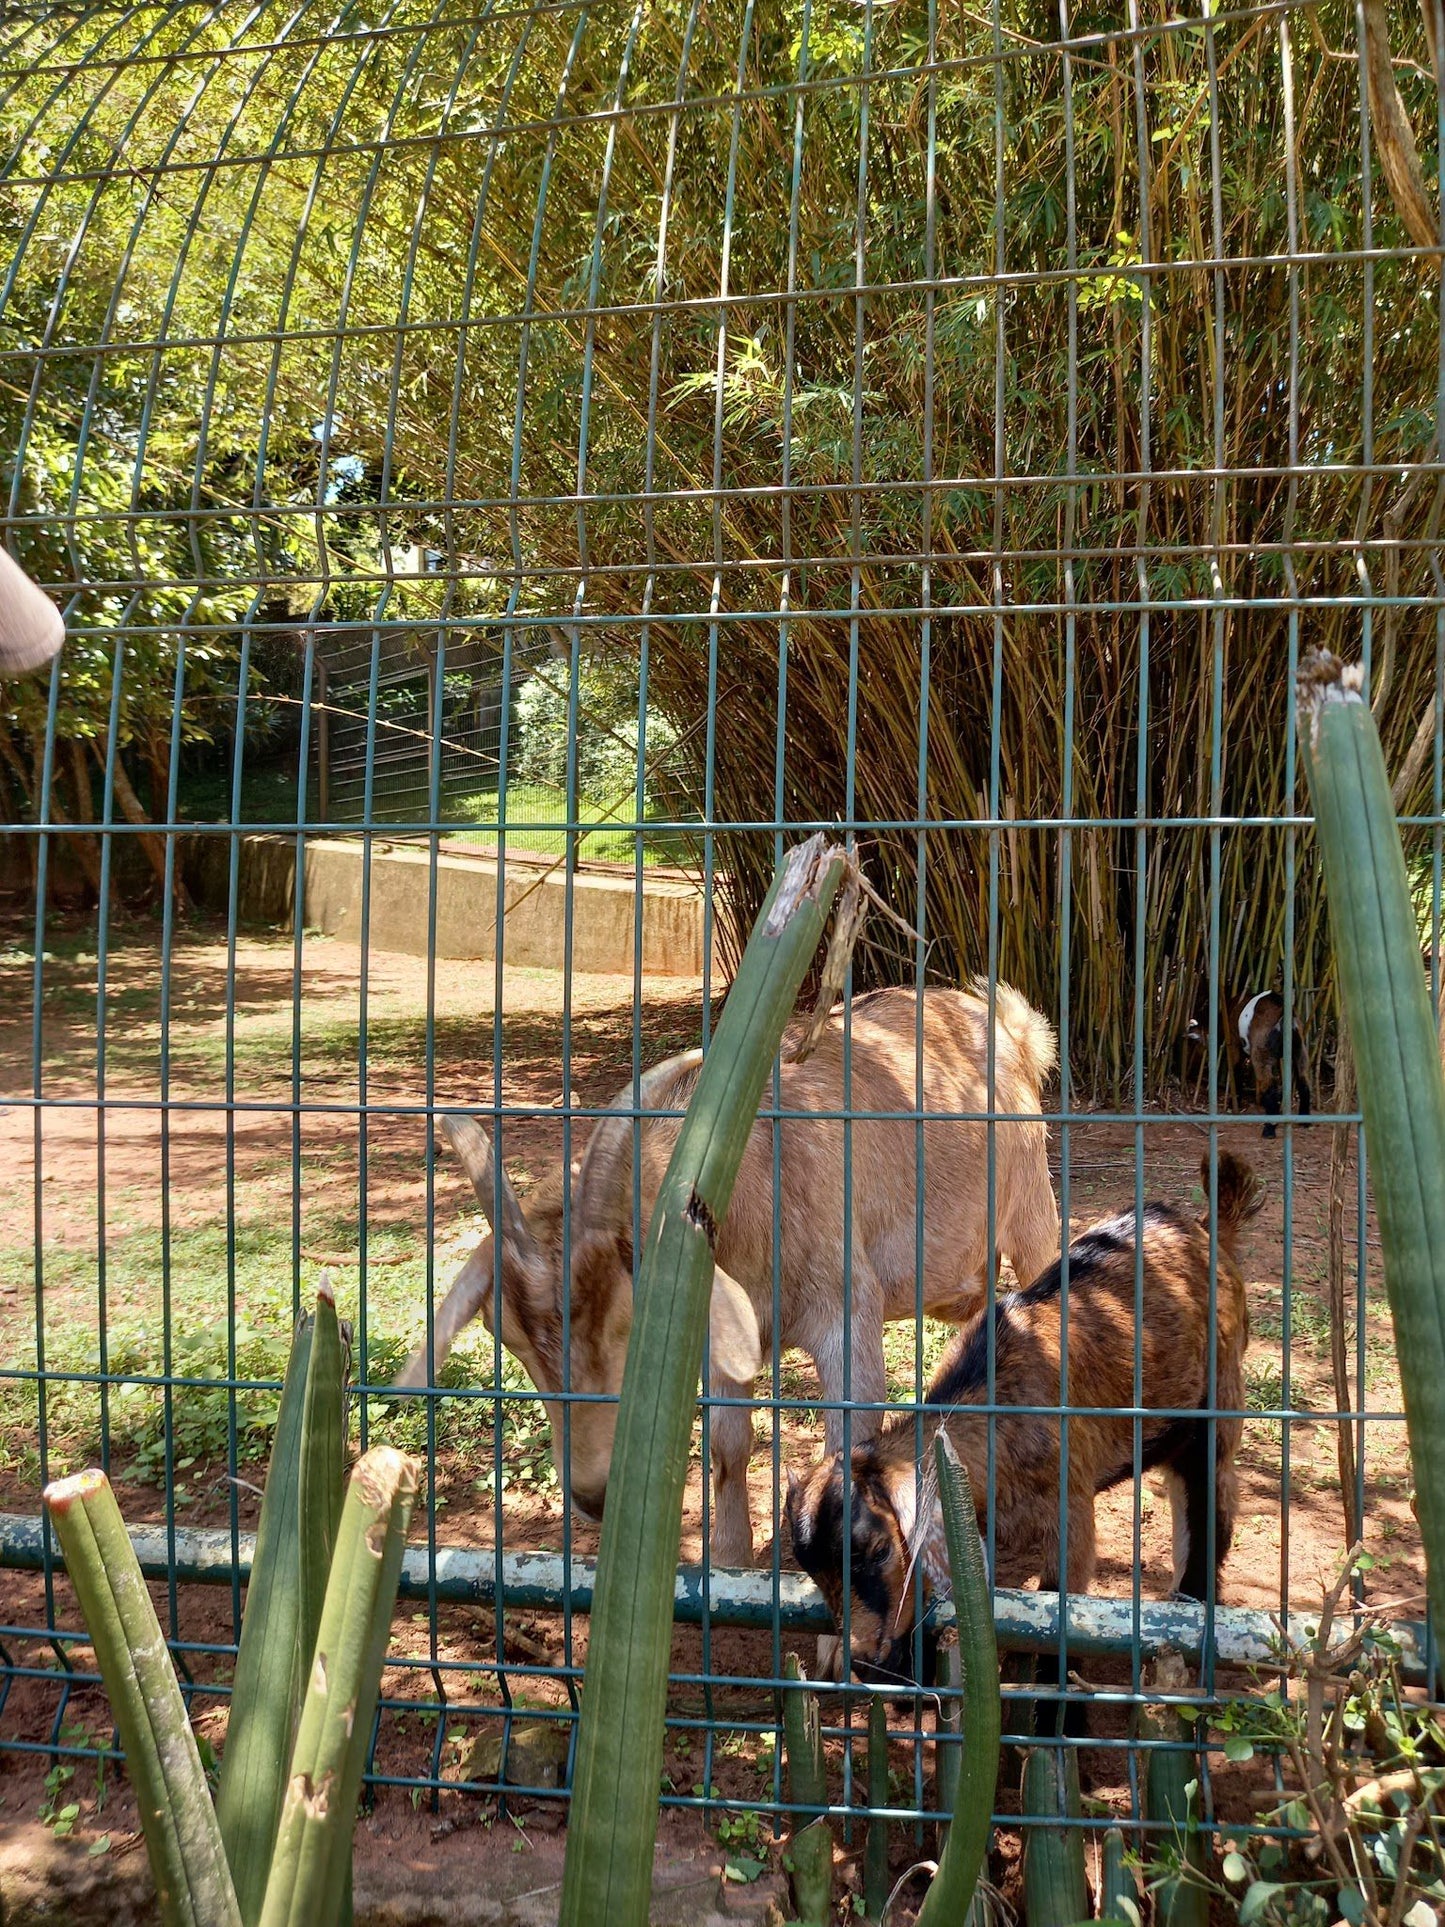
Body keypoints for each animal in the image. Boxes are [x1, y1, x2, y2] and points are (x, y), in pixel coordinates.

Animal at [396, 986, 1063, 1557]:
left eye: (631, 1318)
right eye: (503, 1334)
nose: (593, 1494)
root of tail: (1007, 1022)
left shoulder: (846, 1310)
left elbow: (847, 1443)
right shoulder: (719, 1338)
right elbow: (727, 1445)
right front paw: (729, 1559)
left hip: (1033, 1204)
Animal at [786, 1148, 1263, 1680]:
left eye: (879, 1549)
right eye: (810, 1568)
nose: (865, 1661)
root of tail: (1207, 1226)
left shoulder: (1071, 1508)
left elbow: (1060, 1611)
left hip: (1217, 1413)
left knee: (1209, 1508)